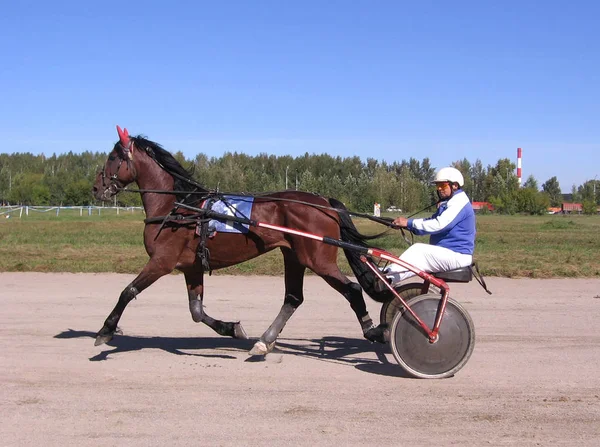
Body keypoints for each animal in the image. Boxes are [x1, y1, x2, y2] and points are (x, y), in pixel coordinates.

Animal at [90, 127, 390, 356]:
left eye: (112, 157)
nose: (96, 188)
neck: (178, 207)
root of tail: (325, 202)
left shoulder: (162, 261)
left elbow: (127, 291)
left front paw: (105, 330)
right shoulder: (191, 266)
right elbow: (196, 311)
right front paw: (232, 328)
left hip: (318, 258)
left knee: (352, 289)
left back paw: (374, 330)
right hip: (294, 256)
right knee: (293, 298)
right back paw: (265, 341)